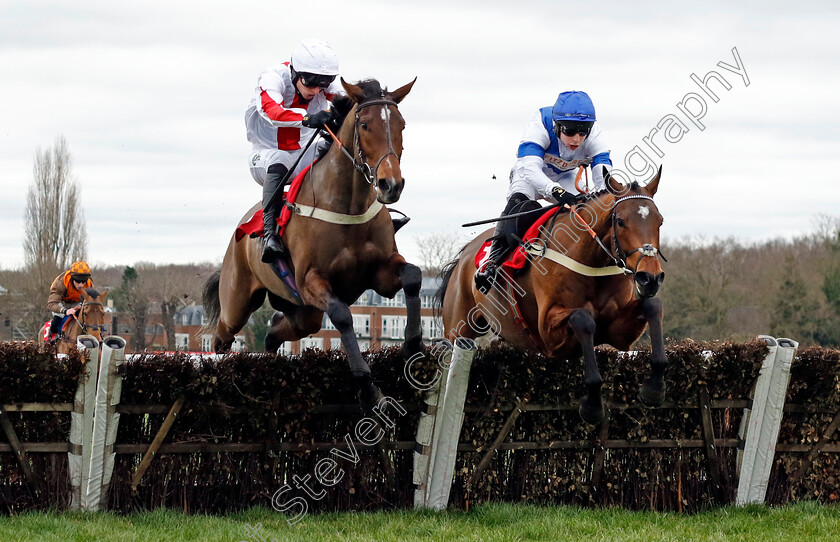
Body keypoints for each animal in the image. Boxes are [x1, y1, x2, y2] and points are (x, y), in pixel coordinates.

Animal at [204, 75, 426, 408]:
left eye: (401, 124)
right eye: (364, 124)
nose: (391, 185)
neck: (347, 206)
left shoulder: (381, 273)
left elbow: (412, 276)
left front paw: (413, 349)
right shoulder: (311, 280)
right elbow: (343, 316)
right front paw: (369, 389)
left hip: (303, 314)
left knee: (274, 331)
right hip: (237, 303)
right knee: (222, 337)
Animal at [436, 170, 668, 424]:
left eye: (660, 221)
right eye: (620, 221)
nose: (649, 277)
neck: (591, 259)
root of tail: (464, 255)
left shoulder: (618, 333)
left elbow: (653, 305)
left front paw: (654, 389)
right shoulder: (547, 331)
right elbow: (583, 319)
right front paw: (592, 406)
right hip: (457, 329)